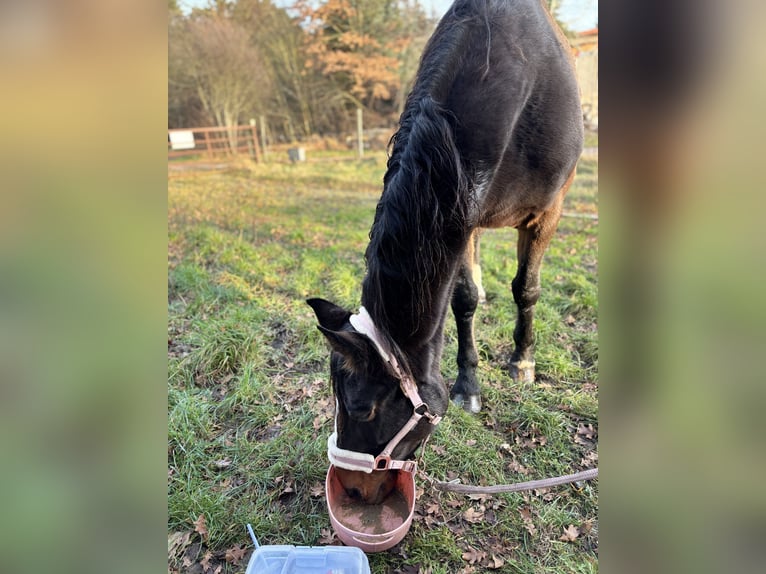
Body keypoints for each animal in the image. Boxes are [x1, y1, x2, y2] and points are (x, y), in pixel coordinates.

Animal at [308, 0, 583, 505]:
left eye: (360, 407)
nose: (352, 489)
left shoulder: (546, 214)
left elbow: (527, 289)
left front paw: (522, 361)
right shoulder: (462, 212)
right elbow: (464, 299)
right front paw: (468, 384)